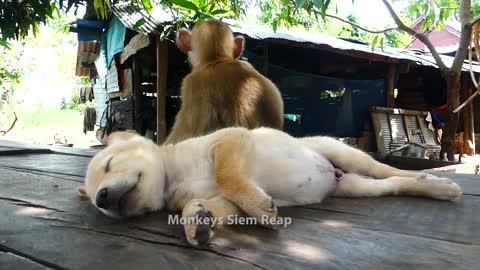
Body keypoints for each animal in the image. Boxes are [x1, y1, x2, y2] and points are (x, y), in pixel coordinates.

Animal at [78, 127, 462, 246]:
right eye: (97, 205)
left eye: (110, 164)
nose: (103, 197)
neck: (175, 175)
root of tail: (334, 176)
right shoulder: (226, 203)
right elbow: (208, 206)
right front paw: (196, 223)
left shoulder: (230, 142)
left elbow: (228, 176)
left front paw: (264, 212)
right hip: (355, 186)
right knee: (393, 185)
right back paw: (435, 188)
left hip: (348, 155)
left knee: (389, 170)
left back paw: (437, 181)